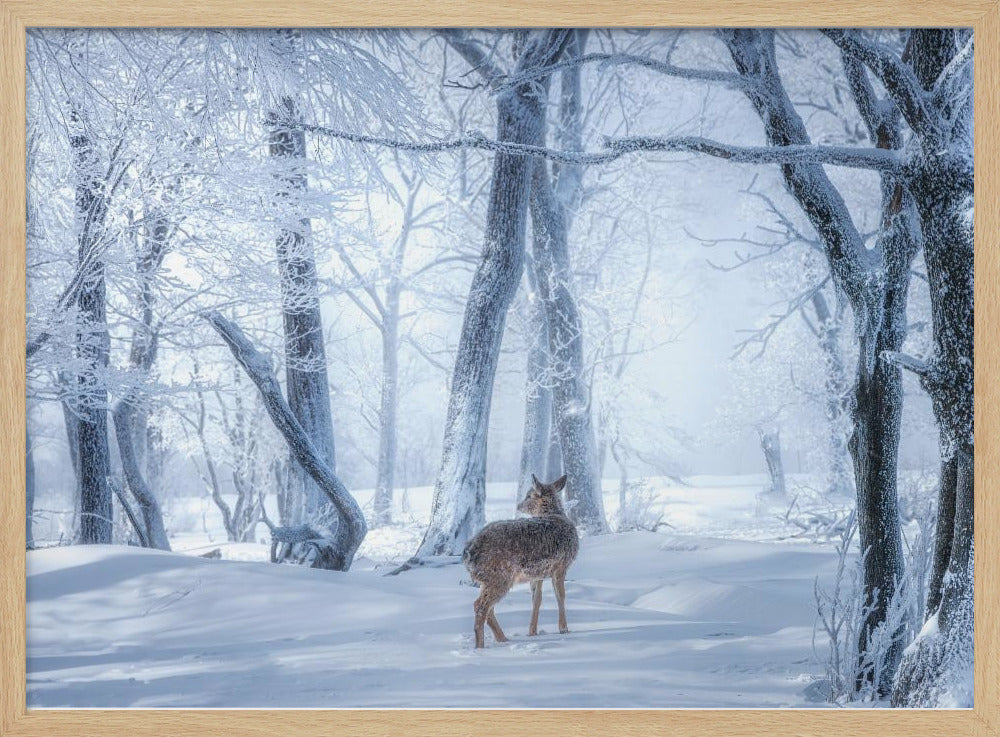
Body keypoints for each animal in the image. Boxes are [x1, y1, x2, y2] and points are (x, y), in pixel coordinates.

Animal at [462, 474, 579, 649]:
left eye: (529, 495)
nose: (518, 505)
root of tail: (469, 552)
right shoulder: (561, 565)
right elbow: (561, 596)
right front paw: (564, 629)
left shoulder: (538, 574)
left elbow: (536, 600)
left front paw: (532, 632)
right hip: (500, 576)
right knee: (480, 606)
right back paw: (481, 646)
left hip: (488, 578)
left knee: (488, 608)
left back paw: (502, 639)